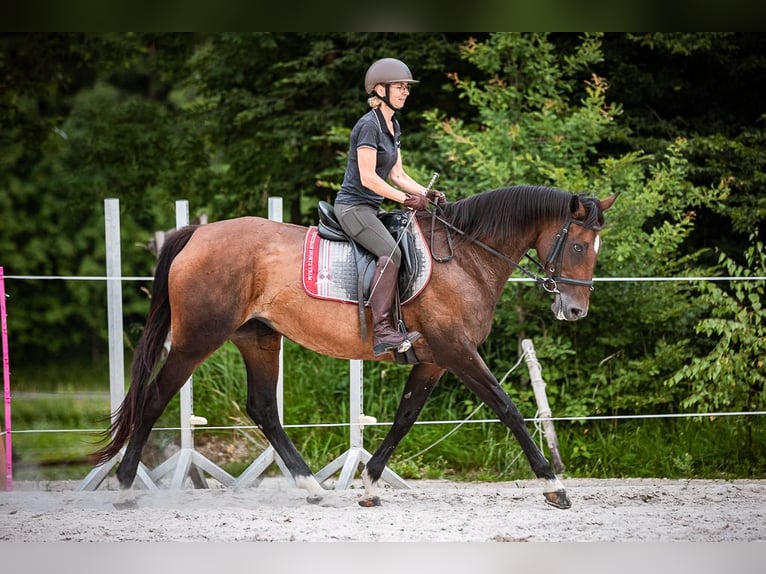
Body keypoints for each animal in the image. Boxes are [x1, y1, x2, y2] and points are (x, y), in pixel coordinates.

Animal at [96, 183, 620, 508]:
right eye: (577, 246)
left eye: (595, 249)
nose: (575, 310)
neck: (465, 258)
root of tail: (199, 232)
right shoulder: (457, 353)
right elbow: (508, 408)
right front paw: (553, 485)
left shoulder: (434, 361)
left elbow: (405, 417)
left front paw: (369, 484)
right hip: (196, 339)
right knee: (155, 398)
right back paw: (123, 489)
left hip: (259, 338)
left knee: (263, 407)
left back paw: (310, 485)